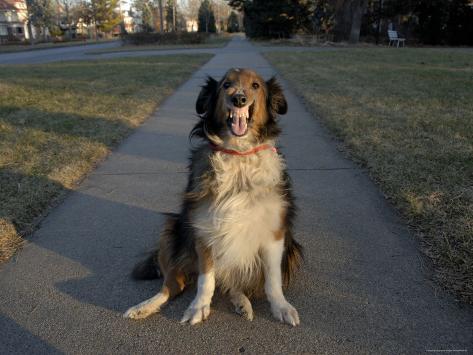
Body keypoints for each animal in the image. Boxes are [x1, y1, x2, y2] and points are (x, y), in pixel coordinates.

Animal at [123, 68, 302, 326]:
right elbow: (206, 279)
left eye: (255, 85)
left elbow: (272, 280)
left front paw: (281, 307)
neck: (239, 154)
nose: (239, 99)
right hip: (172, 229)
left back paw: (241, 302)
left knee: (234, 284)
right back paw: (143, 307)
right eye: (226, 84)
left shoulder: (274, 232)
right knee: (173, 285)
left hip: (291, 250)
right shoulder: (203, 228)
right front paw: (199, 306)